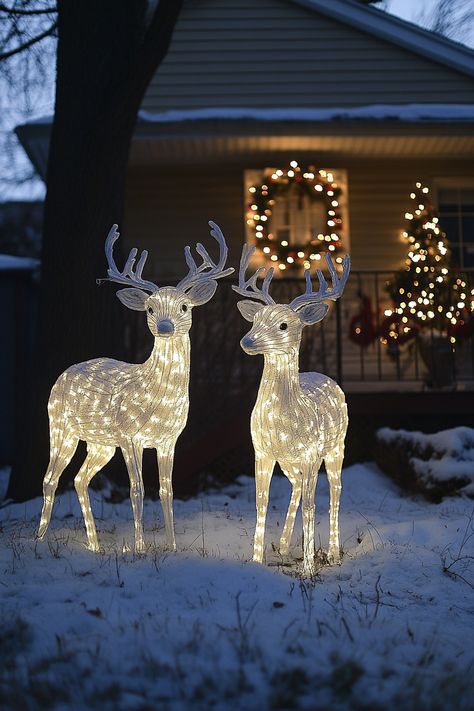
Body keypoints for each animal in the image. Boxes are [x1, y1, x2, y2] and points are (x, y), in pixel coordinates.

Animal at [37, 220, 233, 552]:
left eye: (184, 306)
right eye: (150, 309)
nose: (165, 326)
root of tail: (64, 372)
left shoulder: (169, 440)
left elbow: (167, 491)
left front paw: (172, 546)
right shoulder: (130, 436)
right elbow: (137, 489)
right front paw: (140, 547)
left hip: (101, 443)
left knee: (79, 479)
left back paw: (95, 545)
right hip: (61, 425)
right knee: (50, 478)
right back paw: (38, 539)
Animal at [234, 248, 350, 576]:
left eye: (284, 326)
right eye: (256, 319)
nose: (247, 341)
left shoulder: (310, 453)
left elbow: (312, 505)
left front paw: (309, 568)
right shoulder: (262, 451)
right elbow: (261, 502)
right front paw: (256, 561)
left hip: (335, 447)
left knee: (335, 492)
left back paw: (333, 553)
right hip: (289, 461)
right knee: (297, 486)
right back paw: (285, 546)